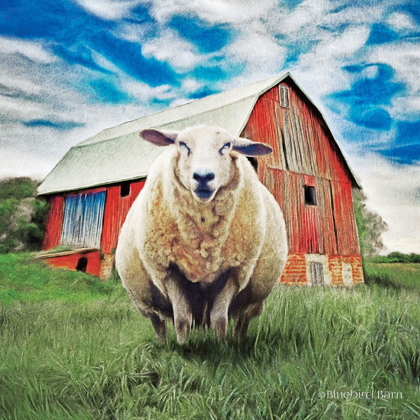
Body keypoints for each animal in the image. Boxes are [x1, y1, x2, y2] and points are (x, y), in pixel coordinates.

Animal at [118, 124, 288, 344]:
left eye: (226, 146)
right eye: (182, 144)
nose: (203, 177)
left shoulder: (235, 271)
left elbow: (219, 319)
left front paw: (221, 346)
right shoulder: (168, 270)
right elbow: (182, 319)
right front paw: (183, 347)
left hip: (252, 299)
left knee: (242, 321)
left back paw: (238, 342)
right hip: (146, 300)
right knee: (158, 323)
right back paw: (162, 344)